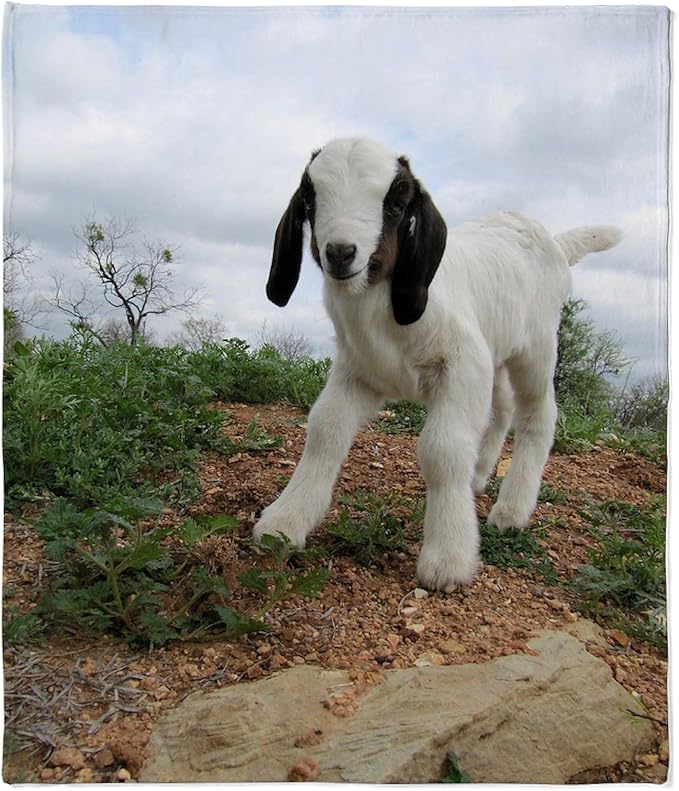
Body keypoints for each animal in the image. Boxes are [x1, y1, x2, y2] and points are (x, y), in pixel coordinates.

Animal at [254, 136, 621, 591]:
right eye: (310, 197)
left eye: (396, 202)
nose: (340, 253)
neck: (379, 305)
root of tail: (554, 241)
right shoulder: (358, 371)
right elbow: (325, 431)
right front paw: (284, 521)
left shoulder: (460, 366)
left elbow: (442, 450)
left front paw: (448, 558)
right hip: (494, 353)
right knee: (501, 409)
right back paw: (479, 475)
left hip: (535, 347)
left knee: (538, 414)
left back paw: (512, 510)